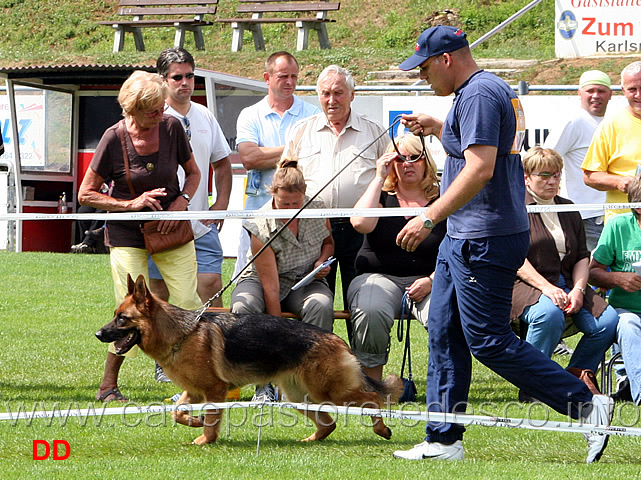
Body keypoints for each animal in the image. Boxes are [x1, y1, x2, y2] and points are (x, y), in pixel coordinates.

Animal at [95, 276, 400, 444]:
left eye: (122, 319)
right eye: (115, 315)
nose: (98, 334)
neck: (181, 334)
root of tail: (336, 339)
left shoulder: (214, 390)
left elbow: (211, 420)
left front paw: (205, 439)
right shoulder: (194, 392)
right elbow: (176, 412)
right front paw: (194, 422)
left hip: (331, 391)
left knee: (372, 399)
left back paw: (381, 427)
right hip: (300, 396)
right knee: (328, 424)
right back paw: (312, 440)